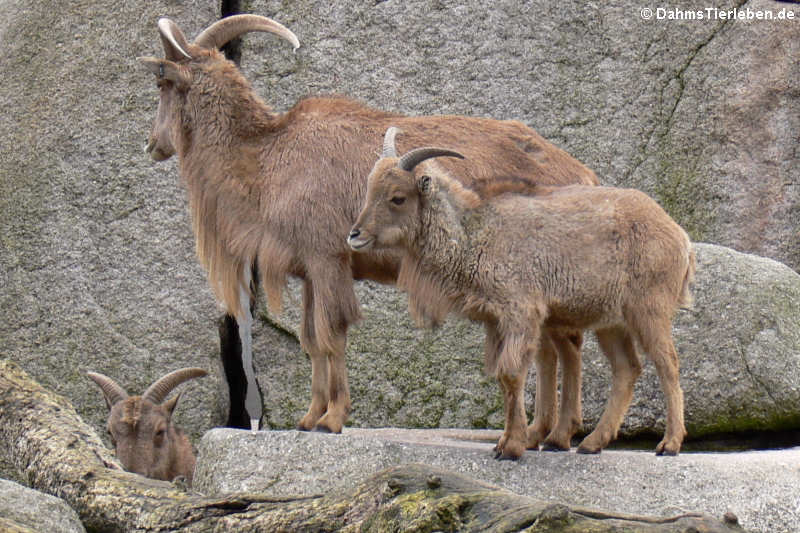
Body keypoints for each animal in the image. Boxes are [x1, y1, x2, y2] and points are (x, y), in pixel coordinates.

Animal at [139, 14, 600, 436]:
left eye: (162, 83)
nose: (151, 144)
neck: (269, 160)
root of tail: (585, 175)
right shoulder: (311, 270)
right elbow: (311, 340)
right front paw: (309, 418)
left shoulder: (327, 258)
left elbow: (332, 335)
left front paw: (333, 419)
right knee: (553, 346)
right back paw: (544, 431)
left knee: (563, 344)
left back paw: (559, 431)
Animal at [348, 129, 692, 458]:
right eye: (369, 191)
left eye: (397, 197)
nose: (355, 235)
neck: (475, 234)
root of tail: (679, 236)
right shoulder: (497, 321)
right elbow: (503, 377)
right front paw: (504, 443)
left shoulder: (520, 312)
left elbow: (511, 373)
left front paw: (512, 447)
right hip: (611, 322)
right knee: (626, 368)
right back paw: (592, 442)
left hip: (649, 310)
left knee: (667, 363)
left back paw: (669, 443)